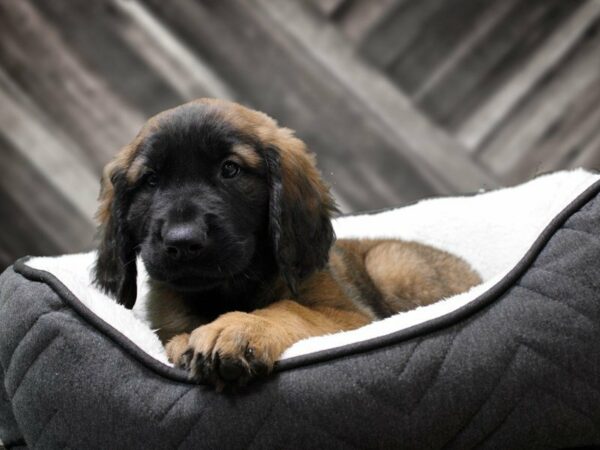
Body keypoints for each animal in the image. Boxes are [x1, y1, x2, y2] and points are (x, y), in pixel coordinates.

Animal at [92, 100, 478, 388]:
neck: (227, 290)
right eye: (150, 180)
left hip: (391, 263)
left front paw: (240, 328)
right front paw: (187, 342)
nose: (183, 241)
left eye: (230, 169)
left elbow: (290, 308)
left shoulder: (351, 316)